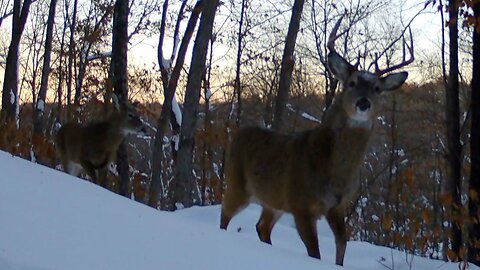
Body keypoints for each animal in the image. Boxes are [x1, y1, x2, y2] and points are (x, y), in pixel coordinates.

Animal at [221, 14, 412, 266]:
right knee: (225, 216)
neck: (333, 170)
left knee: (262, 227)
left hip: (274, 200)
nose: (363, 103)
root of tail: (236, 133)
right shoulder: (301, 203)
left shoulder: (338, 206)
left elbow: (342, 244)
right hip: (237, 183)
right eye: (351, 83)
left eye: (378, 88)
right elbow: (315, 252)